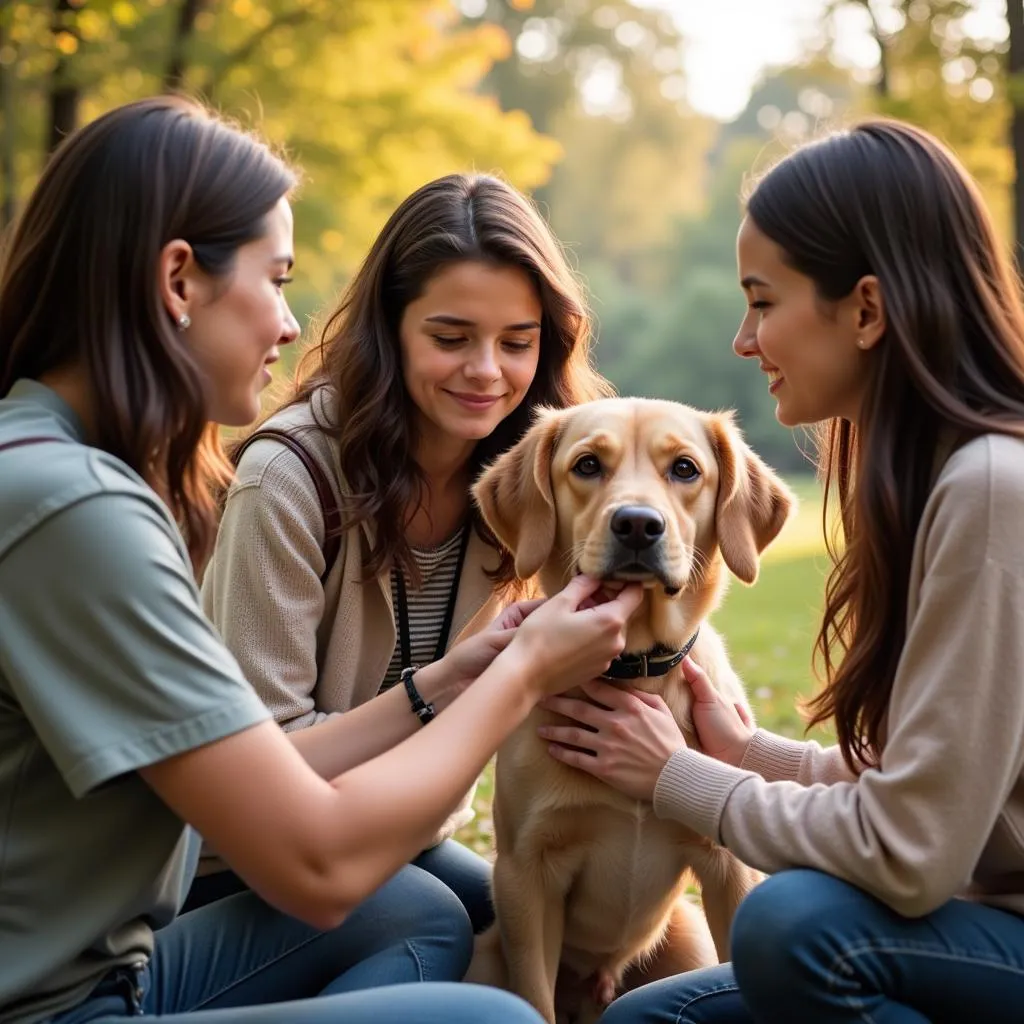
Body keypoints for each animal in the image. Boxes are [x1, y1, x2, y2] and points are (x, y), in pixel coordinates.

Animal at [464, 395, 790, 1019]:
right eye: (587, 465)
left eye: (685, 469)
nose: (637, 523)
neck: (636, 674)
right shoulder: (525, 875)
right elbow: (535, 998)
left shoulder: (729, 867)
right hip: (488, 954)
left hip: (687, 935)